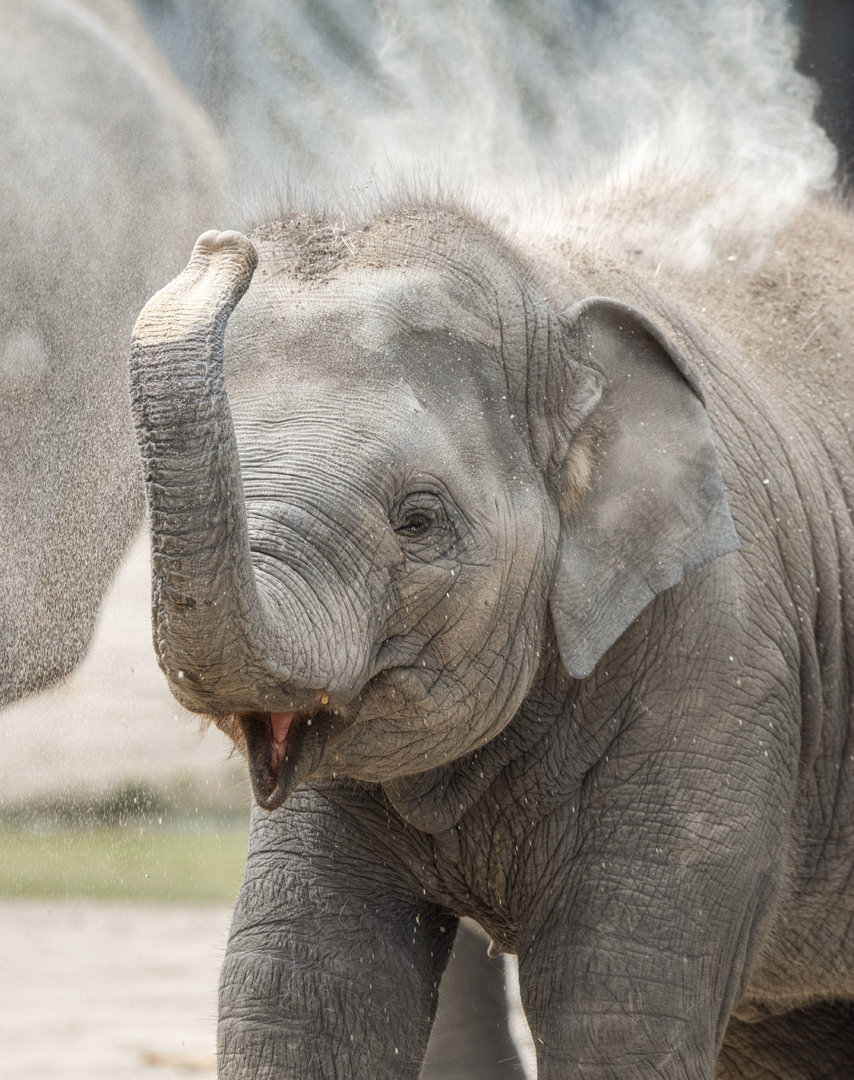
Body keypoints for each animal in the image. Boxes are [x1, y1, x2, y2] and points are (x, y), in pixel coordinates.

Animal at [128, 193, 854, 1078]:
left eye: (418, 520)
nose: (221, 245)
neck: (549, 297)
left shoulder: (720, 661)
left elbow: (612, 1016)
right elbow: (297, 996)